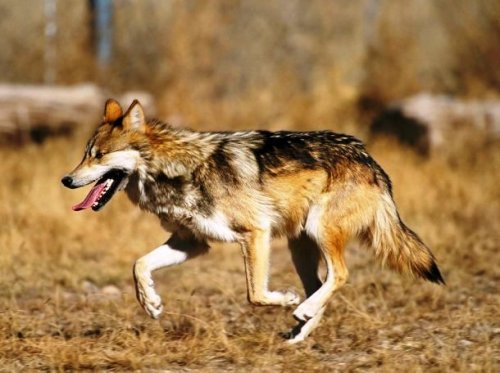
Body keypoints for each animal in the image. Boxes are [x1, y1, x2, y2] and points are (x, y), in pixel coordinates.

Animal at [60, 99, 444, 342]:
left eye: (99, 155)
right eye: (84, 154)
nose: (66, 179)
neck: (177, 170)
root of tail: (369, 159)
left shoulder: (255, 233)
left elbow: (255, 294)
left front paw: (284, 300)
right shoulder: (192, 243)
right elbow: (139, 265)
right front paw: (151, 303)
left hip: (318, 232)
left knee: (340, 275)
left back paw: (300, 310)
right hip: (300, 247)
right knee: (321, 285)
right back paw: (299, 330)